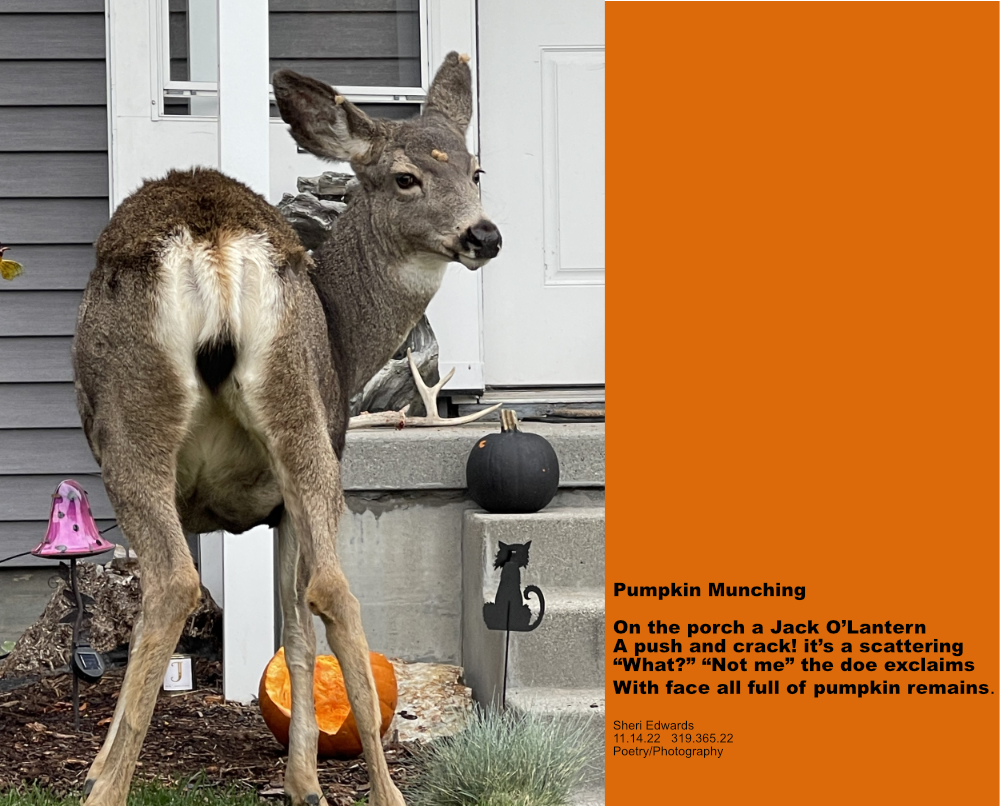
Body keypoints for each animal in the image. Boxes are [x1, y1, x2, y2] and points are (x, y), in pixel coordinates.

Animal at [71, 52, 500, 806]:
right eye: (406, 177)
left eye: (475, 171)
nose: (484, 234)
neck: (346, 335)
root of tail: (213, 243)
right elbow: (294, 624)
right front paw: (305, 780)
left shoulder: (265, 505)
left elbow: (287, 630)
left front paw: (301, 780)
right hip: (302, 417)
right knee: (333, 588)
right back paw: (386, 792)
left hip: (140, 421)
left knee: (178, 584)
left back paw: (110, 789)